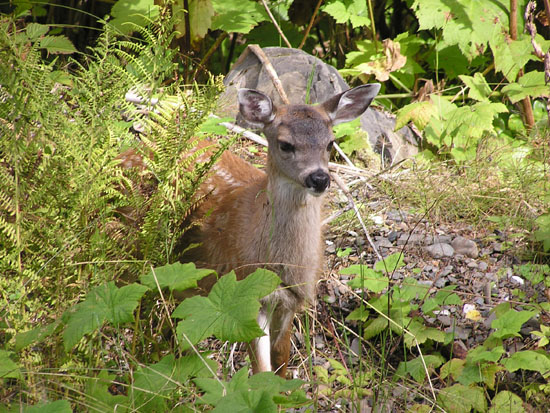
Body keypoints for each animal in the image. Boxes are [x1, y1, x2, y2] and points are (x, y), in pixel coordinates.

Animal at [178, 83, 384, 376]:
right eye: (286, 144)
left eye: (330, 143)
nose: (319, 178)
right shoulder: (245, 293)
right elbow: (261, 369)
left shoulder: (292, 299)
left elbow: (280, 359)